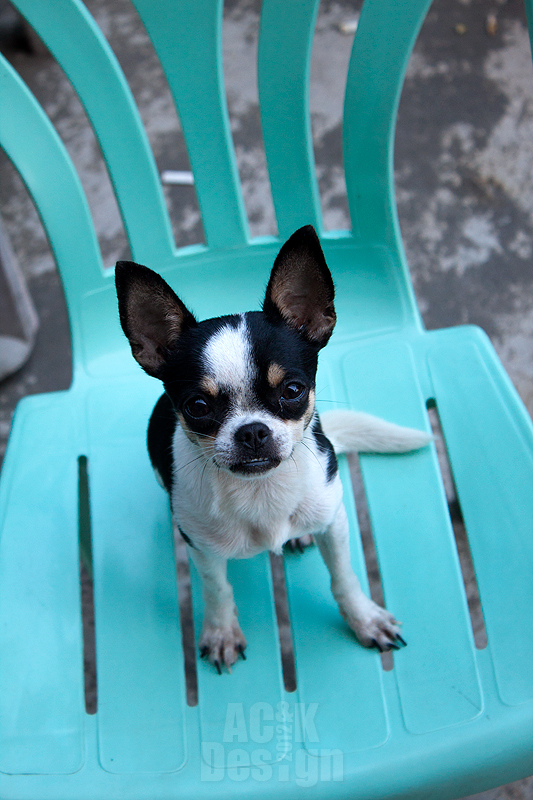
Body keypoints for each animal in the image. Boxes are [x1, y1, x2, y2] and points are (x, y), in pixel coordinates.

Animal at [115, 225, 431, 673]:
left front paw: (364, 618)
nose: (252, 432)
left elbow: (344, 577)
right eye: (198, 407)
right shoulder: (203, 550)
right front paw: (221, 631)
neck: (261, 491)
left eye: (293, 390)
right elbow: (217, 589)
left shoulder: (334, 522)